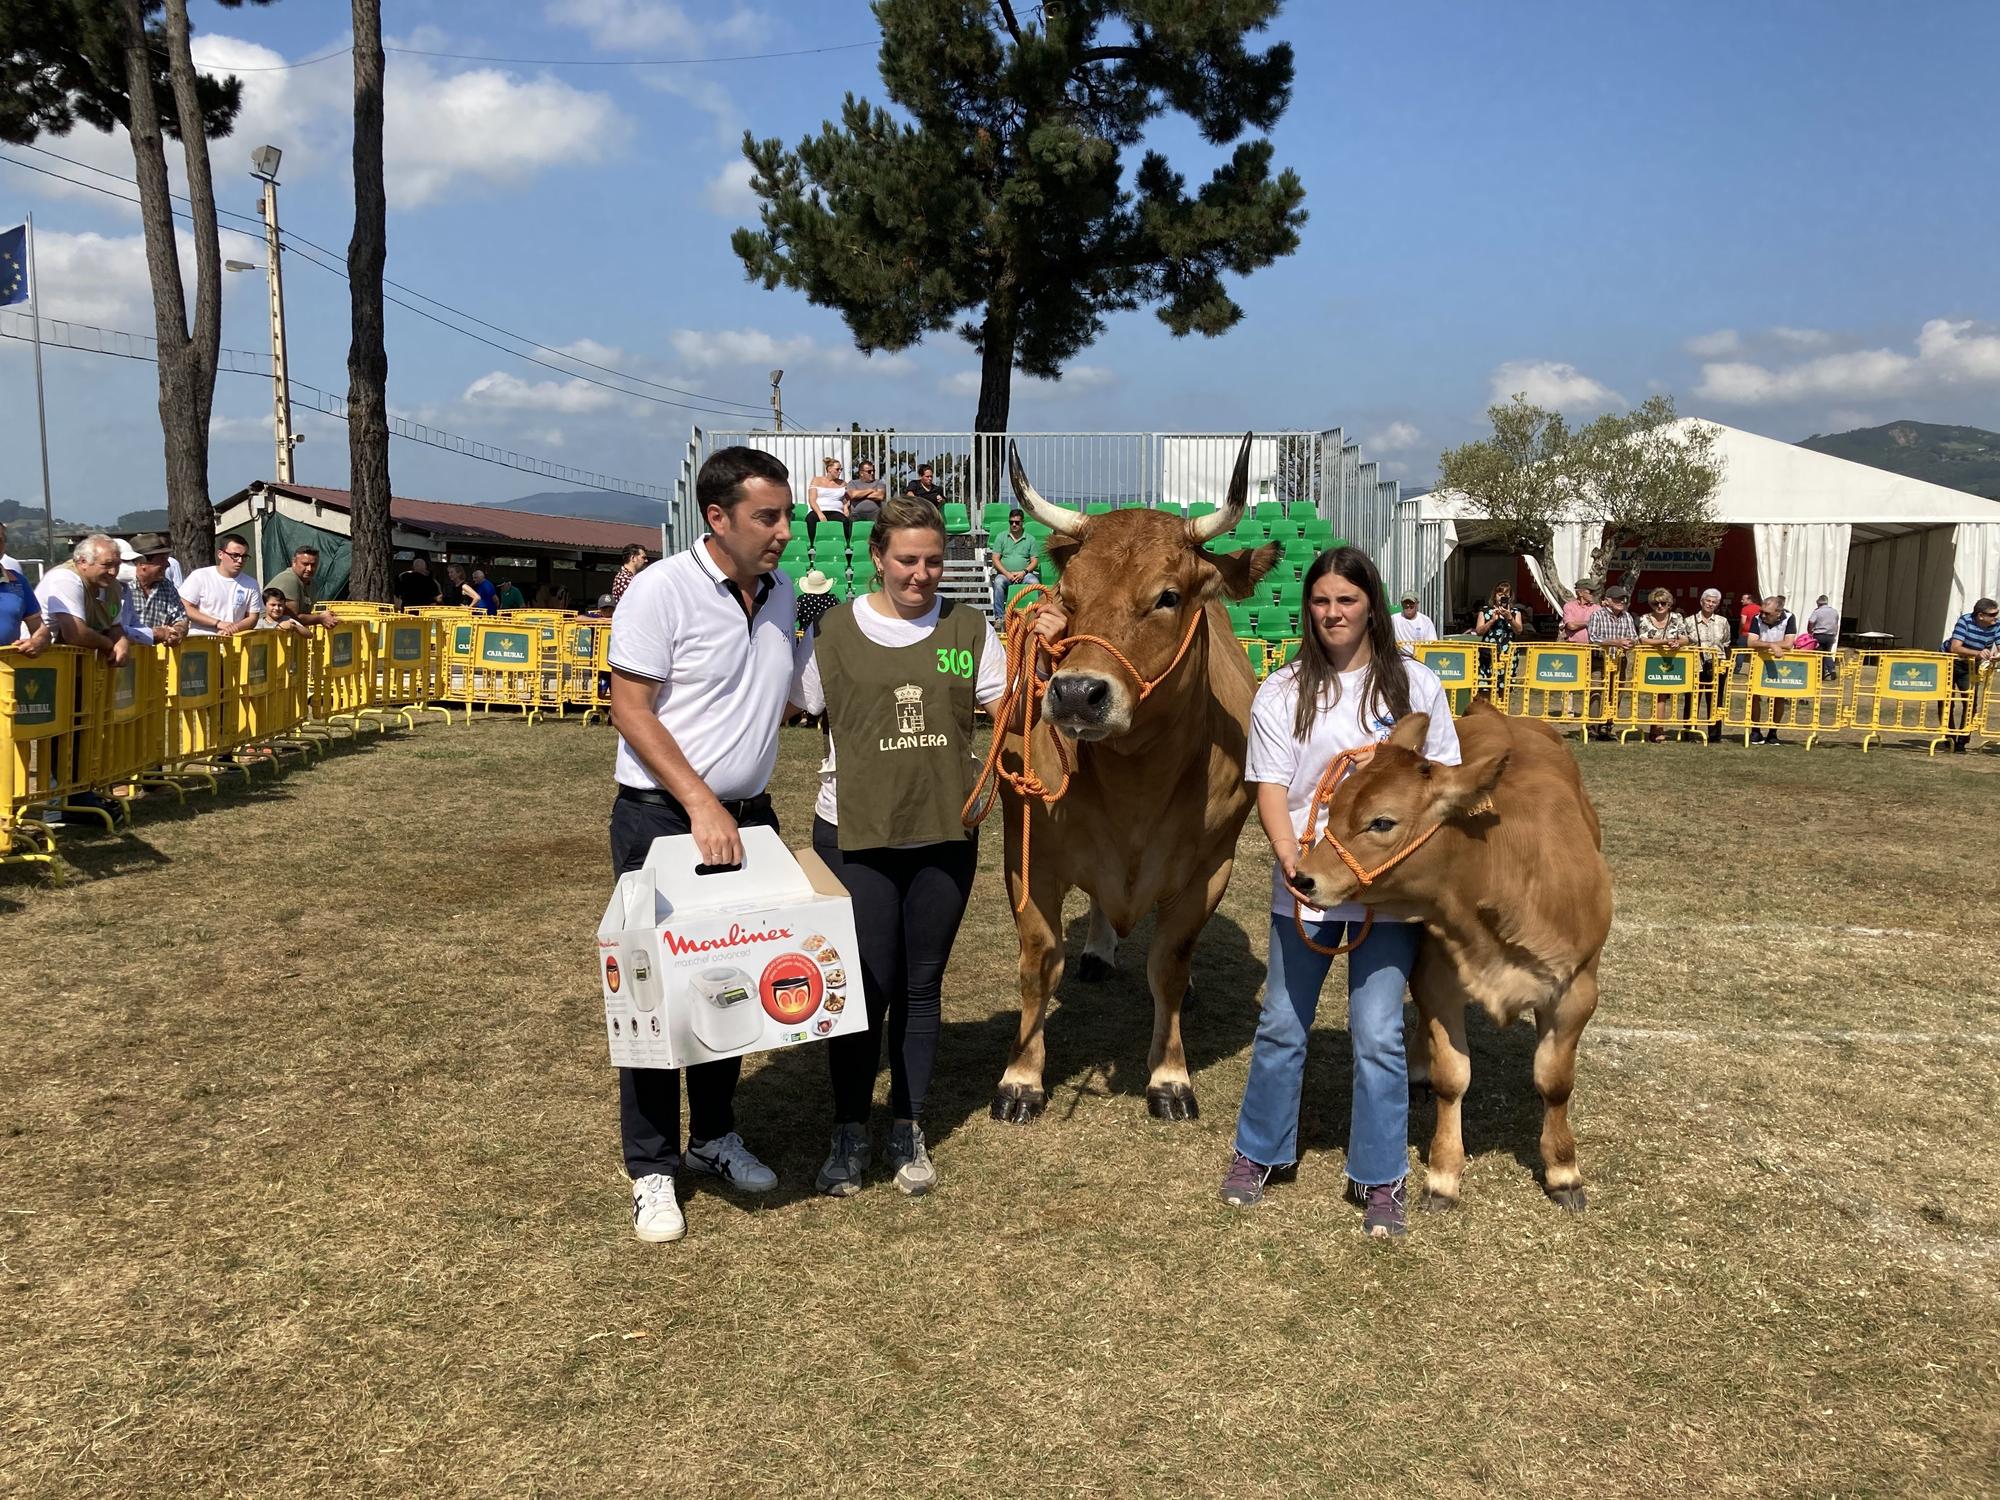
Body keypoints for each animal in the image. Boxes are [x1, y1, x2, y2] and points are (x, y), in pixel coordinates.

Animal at [992, 428, 1272, 1120]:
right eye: (1068, 599)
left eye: (1168, 596)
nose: (1075, 693)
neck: (1134, 786)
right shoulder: (1029, 858)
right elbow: (1038, 961)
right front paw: (1020, 1078)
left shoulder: (1210, 868)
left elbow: (1170, 964)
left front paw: (1170, 1077)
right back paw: (1096, 950)